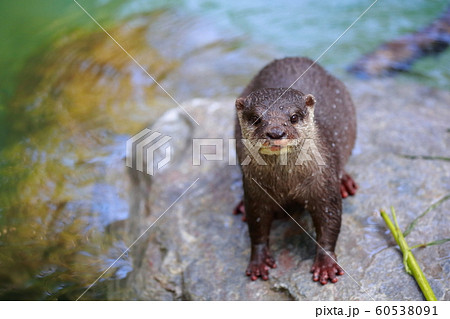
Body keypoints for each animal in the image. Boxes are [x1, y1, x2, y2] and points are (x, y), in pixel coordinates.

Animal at [236, 57, 358, 284]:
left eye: (293, 117)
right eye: (256, 118)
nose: (276, 132)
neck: (287, 184)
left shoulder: (324, 184)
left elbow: (330, 221)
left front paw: (326, 265)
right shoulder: (255, 190)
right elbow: (256, 225)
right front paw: (258, 262)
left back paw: (346, 182)